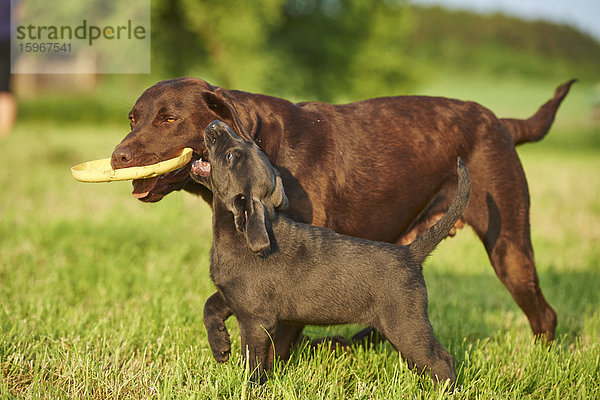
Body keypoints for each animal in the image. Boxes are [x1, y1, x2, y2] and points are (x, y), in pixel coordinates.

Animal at [112, 76, 576, 356]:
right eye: (132, 118)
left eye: (169, 118)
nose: (118, 157)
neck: (262, 144)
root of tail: (501, 122)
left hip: (509, 245)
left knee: (544, 314)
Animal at [190, 119, 472, 388]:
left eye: (230, 157)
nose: (215, 123)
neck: (236, 234)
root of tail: (410, 253)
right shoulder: (233, 296)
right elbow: (209, 307)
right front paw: (220, 347)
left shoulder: (255, 319)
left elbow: (254, 359)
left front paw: (251, 387)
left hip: (404, 324)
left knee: (441, 360)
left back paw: (444, 390)